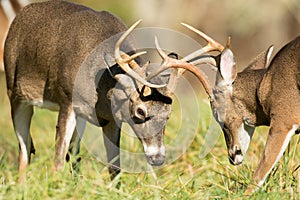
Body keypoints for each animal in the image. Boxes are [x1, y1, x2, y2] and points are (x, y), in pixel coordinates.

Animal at [4, 0, 211, 181]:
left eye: (168, 115)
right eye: (140, 111)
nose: (158, 158)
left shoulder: (111, 118)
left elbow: (114, 167)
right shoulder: (66, 99)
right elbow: (57, 162)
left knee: (72, 155)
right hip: (15, 93)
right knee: (25, 151)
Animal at [170, 23, 298, 194]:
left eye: (217, 115)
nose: (232, 156)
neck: (264, 87)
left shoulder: (284, 118)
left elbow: (262, 168)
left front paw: (245, 195)